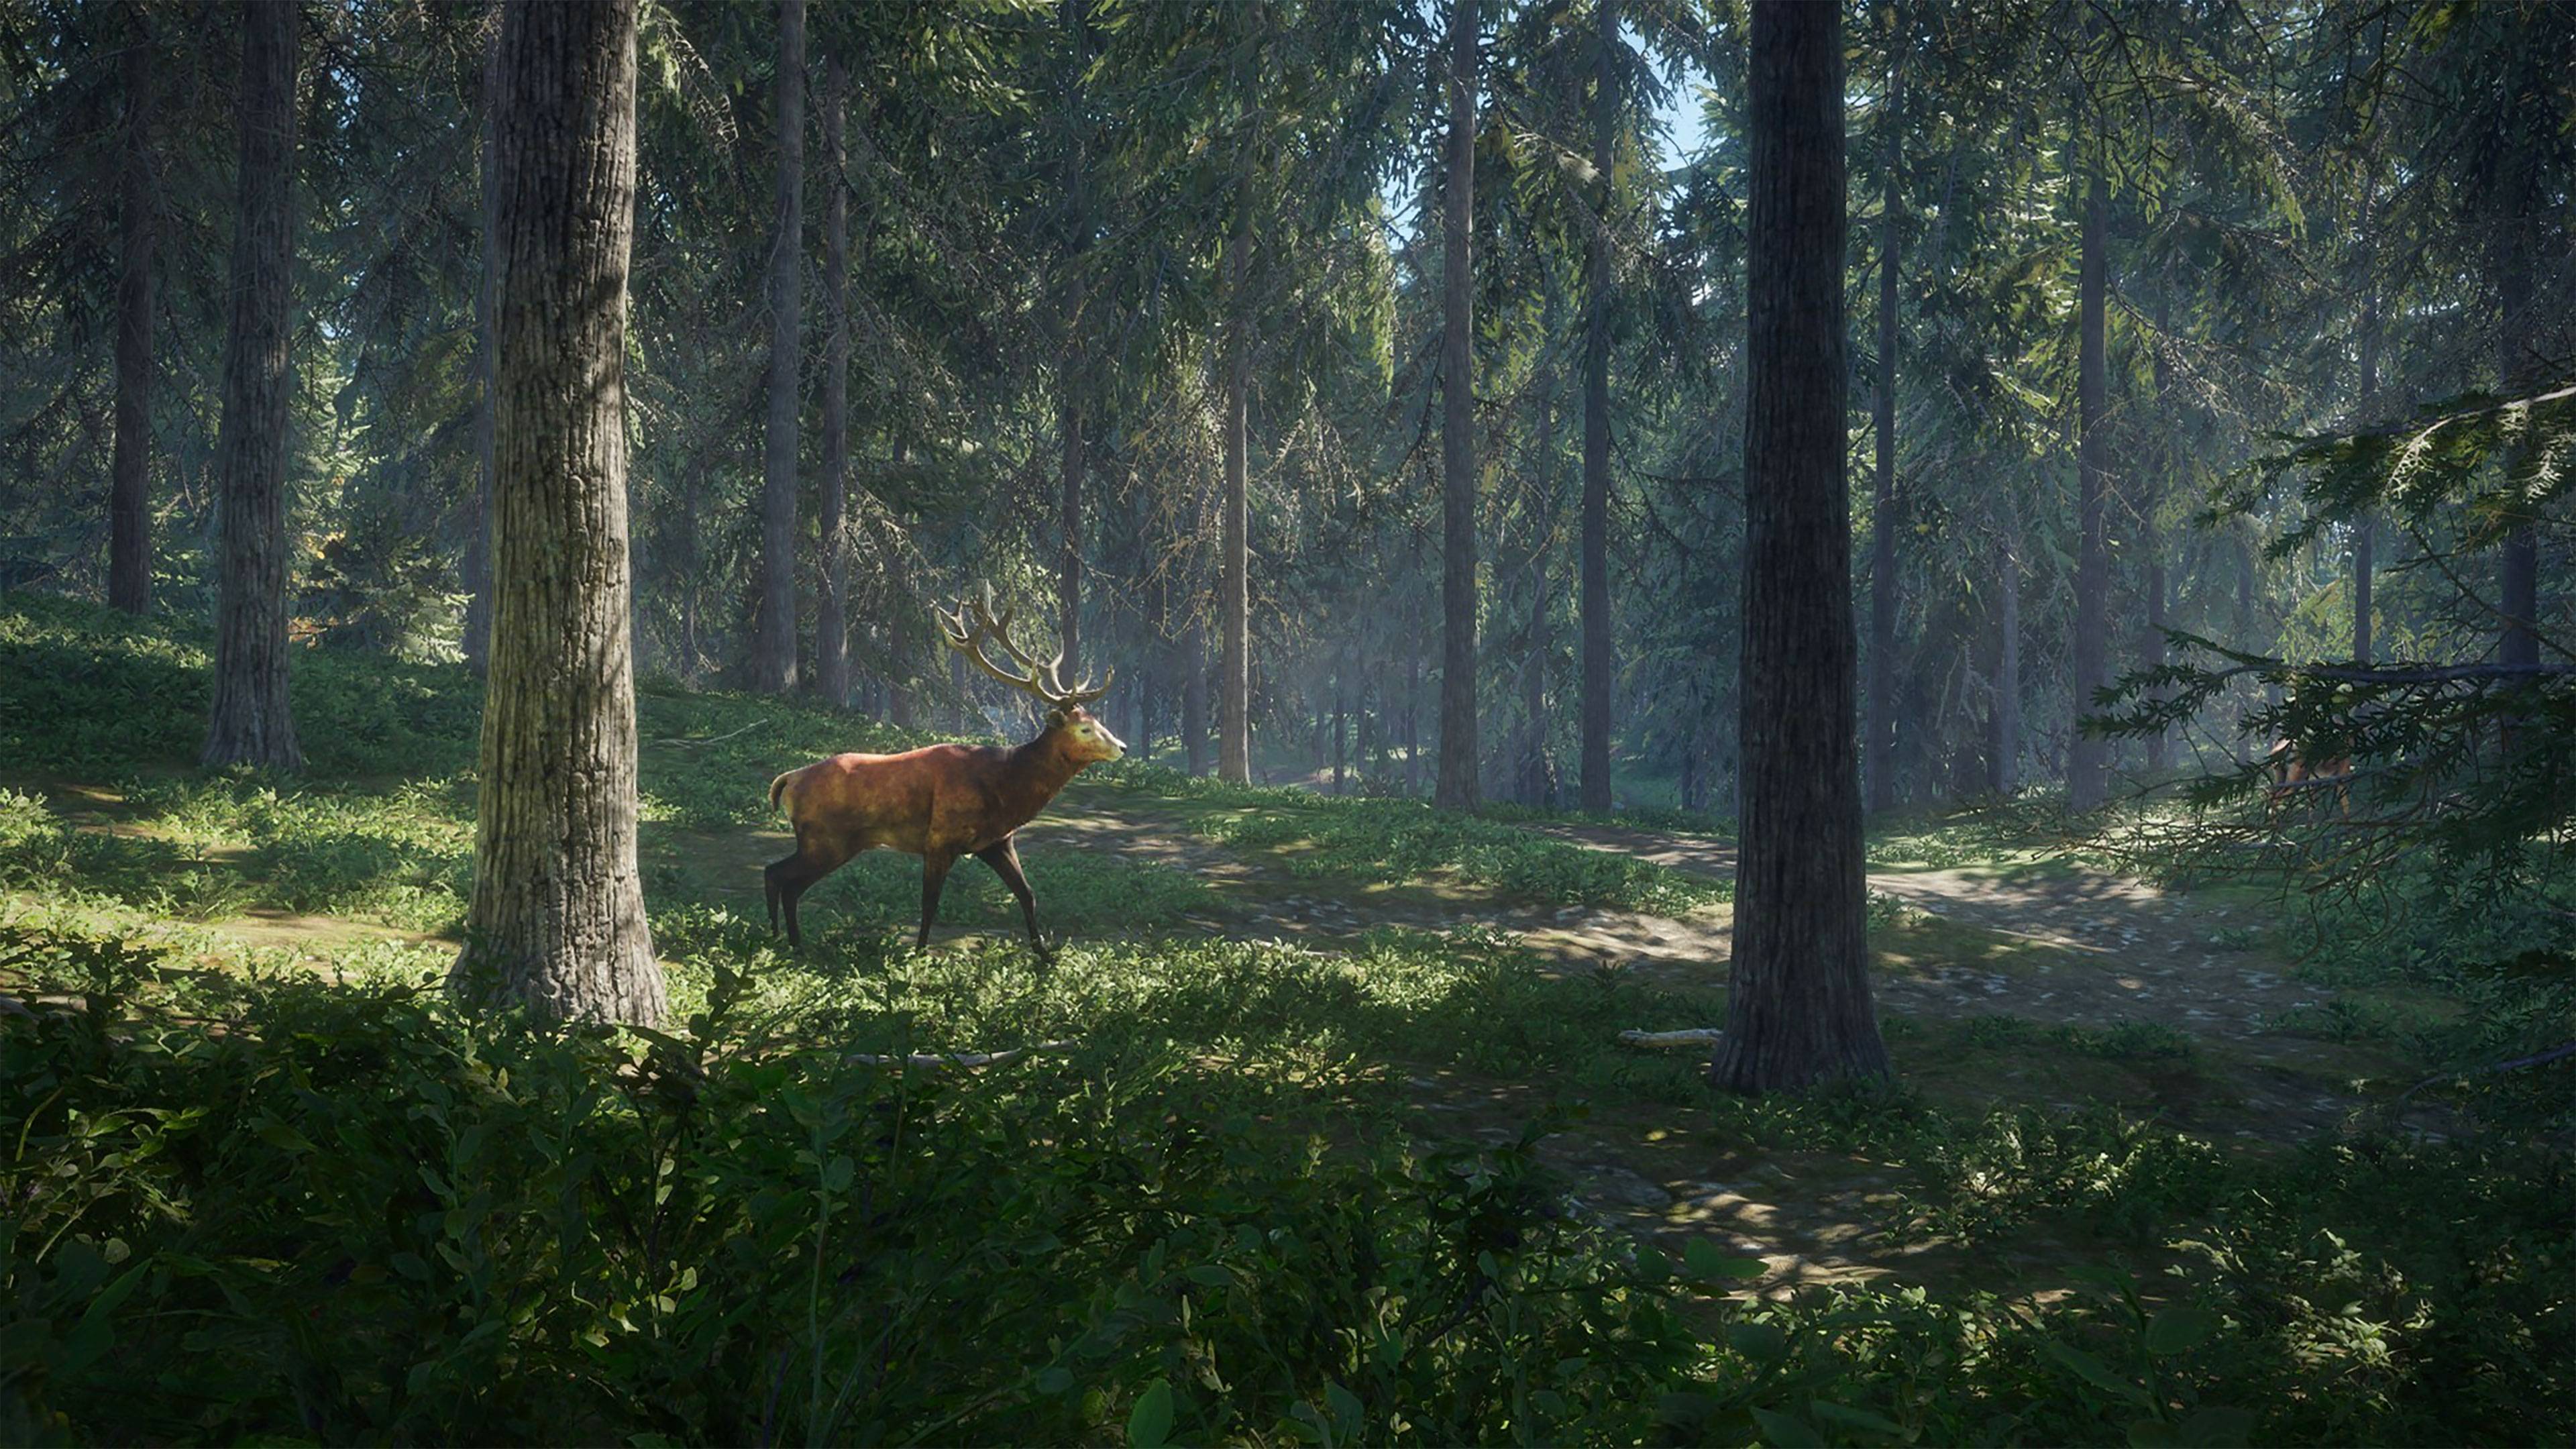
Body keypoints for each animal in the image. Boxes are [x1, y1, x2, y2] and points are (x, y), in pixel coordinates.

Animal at [763, 589, 1124, 957]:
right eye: (1084, 729)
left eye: (1097, 720)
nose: (1123, 746)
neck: (1005, 789)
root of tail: (788, 780)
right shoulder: (939, 839)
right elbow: (929, 903)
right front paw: (920, 955)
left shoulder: (997, 842)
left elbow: (1027, 894)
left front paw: (1045, 957)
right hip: (825, 839)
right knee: (777, 875)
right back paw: (785, 943)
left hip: (830, 842)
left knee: (781, 878)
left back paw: (787, 942)